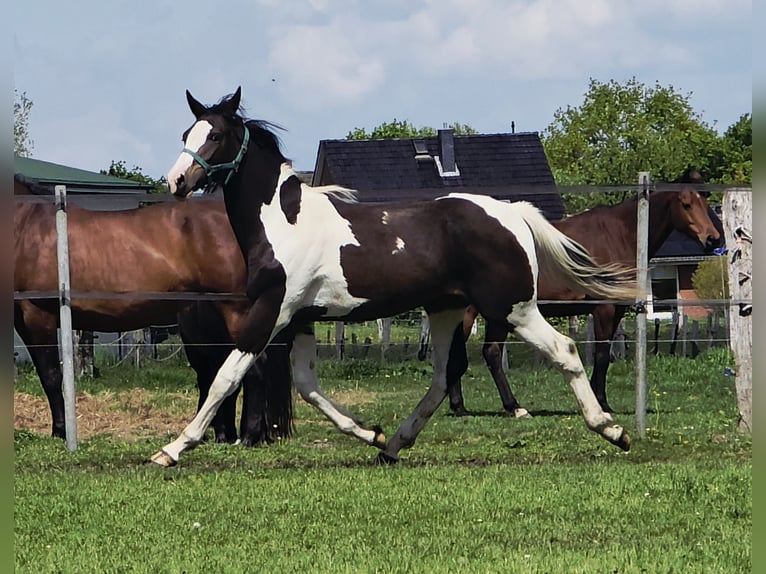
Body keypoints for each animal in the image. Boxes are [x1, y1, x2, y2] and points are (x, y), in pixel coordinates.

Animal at [13, 189, 292, 445]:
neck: (27, 226)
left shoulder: (38, 315)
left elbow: (50, 376)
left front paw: (60, 432)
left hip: (236, 312)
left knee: (253, 368)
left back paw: (248, 437)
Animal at [150, 87, 637, 467]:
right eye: (186, 135)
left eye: (215, 135)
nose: (177, 181)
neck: (283, 220)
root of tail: (513, 213)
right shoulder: (302, 318)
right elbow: (308, 386)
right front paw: (372, 434)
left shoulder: (273, 311)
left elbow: (225, 377)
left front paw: (171, 449)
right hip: (446, 311)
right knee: (443, 375)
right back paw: (394, 445)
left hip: (513, 308)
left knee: (564, 351)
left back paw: (613, 430)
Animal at [446, 188, 723, 417]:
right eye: (686, 204)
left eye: (704, 203)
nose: (713, 238)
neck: (619, 235)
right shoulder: (604, 310)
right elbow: (601, 355)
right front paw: (600, 401)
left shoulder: (616, 311)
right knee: (485, 353)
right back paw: (508, 407)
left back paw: (466, 406)